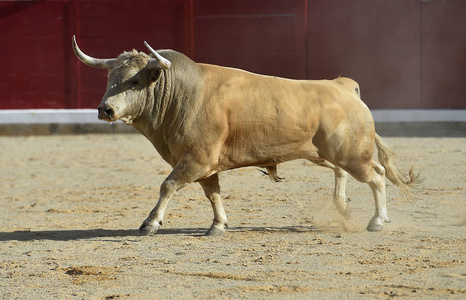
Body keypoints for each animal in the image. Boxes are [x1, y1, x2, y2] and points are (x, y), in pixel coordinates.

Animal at [71, 36, 420, 236]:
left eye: (134, 81)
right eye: (110, 78)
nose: (105, 110)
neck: (182, 94)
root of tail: (344, 87)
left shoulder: (197, 159)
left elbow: (168, 185)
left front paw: (150, 224)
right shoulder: (204, 166)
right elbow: (213, 194)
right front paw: (218, 226)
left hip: (352, 153)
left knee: (376, 176)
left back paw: (377, 221)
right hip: (327, 153)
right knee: (345, 173)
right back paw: (345, 208)